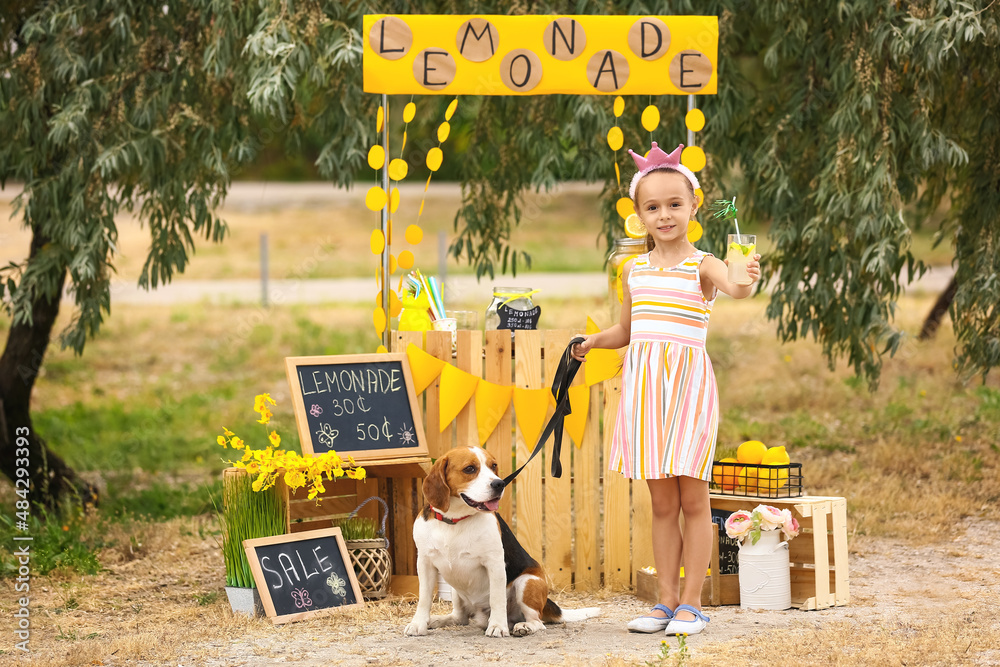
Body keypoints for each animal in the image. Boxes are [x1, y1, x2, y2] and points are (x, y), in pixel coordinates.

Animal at [402, 446, 596, 640]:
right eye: (470, 469)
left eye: (493, 466)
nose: (499, 484)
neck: (454, 521)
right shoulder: (425, 563)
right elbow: (424, 598)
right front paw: (418, 624)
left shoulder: (494, 563)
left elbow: (497, 598)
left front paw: (497, 626)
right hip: (455, 589)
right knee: (460, 618)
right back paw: (439, 620)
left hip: (528, 582)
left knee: (538, 622)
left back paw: (523, 626)